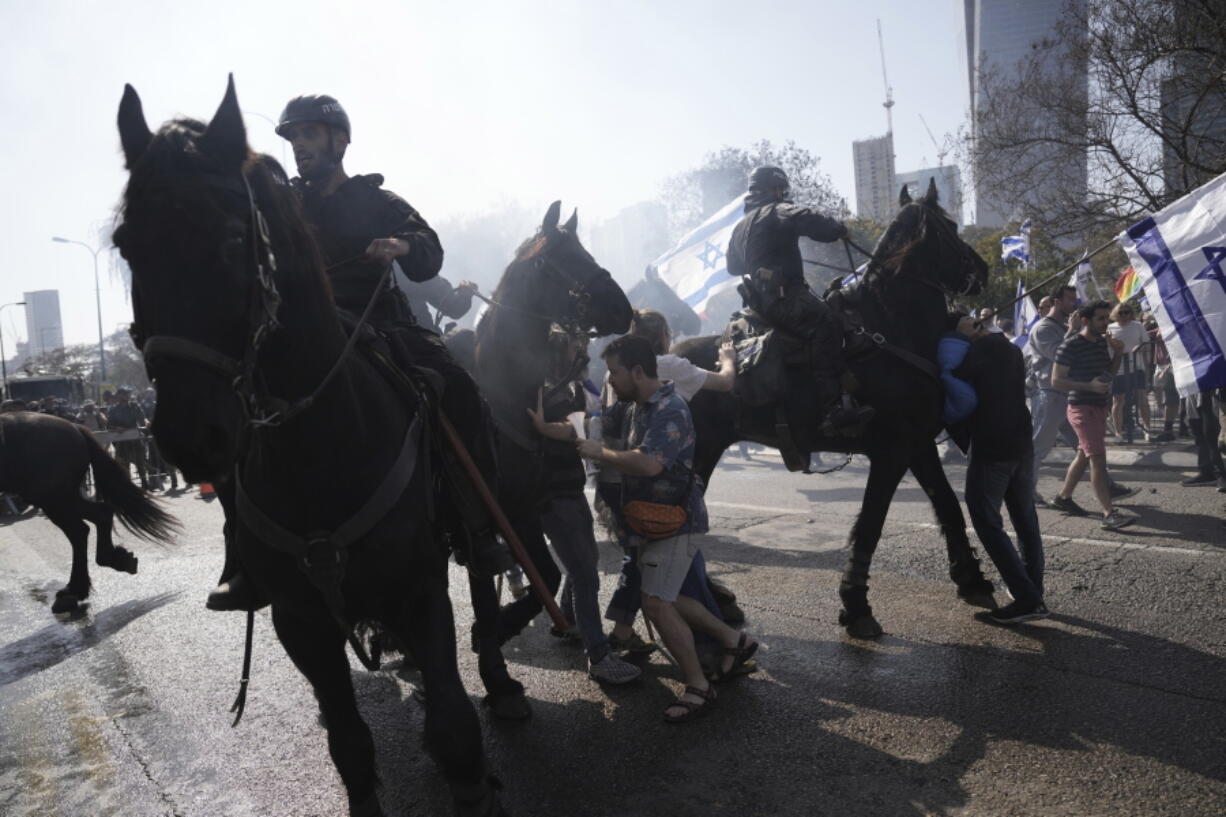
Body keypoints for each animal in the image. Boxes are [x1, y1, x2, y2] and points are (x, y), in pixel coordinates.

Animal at [0, 414, 175, 610]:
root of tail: (75, 427)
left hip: (52, 498)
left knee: (80, 530)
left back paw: (75, 589)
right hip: (59, 498)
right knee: (98, 517)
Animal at [118, 77, 507, 814]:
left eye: (233, 235)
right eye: (127, 243)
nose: (189, 433)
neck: (322, 449)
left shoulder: (422, 588)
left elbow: (454, 728)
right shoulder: (300, 621)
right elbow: (350, 745)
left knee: (487, 587)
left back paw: (504, 683)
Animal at [460, 202, 632, 647]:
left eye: (587, 253)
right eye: (565, 259)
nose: (623, 310)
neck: (502, 398)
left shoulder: (524, 511)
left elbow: (550, 574)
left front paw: (503, 623)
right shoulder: (502, 512)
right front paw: (495, 625)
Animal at [676, 182, 1000, 637]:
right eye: (950, 227)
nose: (982, 271)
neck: (891, 328)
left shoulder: (918, 445)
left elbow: (949, 506)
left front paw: (971, 579)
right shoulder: (890, 451)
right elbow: (870, 524)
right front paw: (856, 605)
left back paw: (716, 598)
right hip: (699, 453)